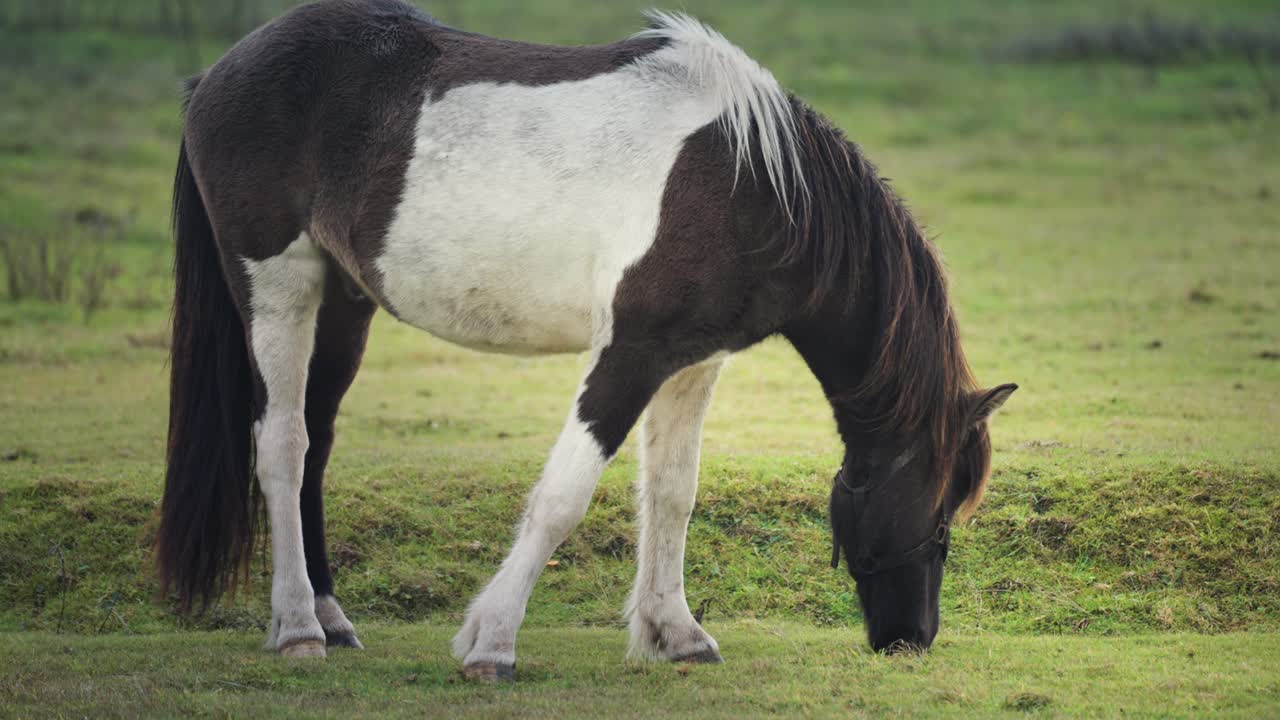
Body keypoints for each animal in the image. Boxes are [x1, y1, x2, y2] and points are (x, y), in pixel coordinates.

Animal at [155, 0, 1016, 681]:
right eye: (943, 518)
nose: (912, 638)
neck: (753, 185)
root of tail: (216, 76)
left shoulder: (691, 363)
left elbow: (672, 494)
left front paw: (677, 634)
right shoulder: (629, 353)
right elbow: (563, 495)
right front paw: (491, 643)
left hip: (343, 302)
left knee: (317, 444)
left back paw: (331, 620)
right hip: (278, 285)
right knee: (282, 445)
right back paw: (299, 628)